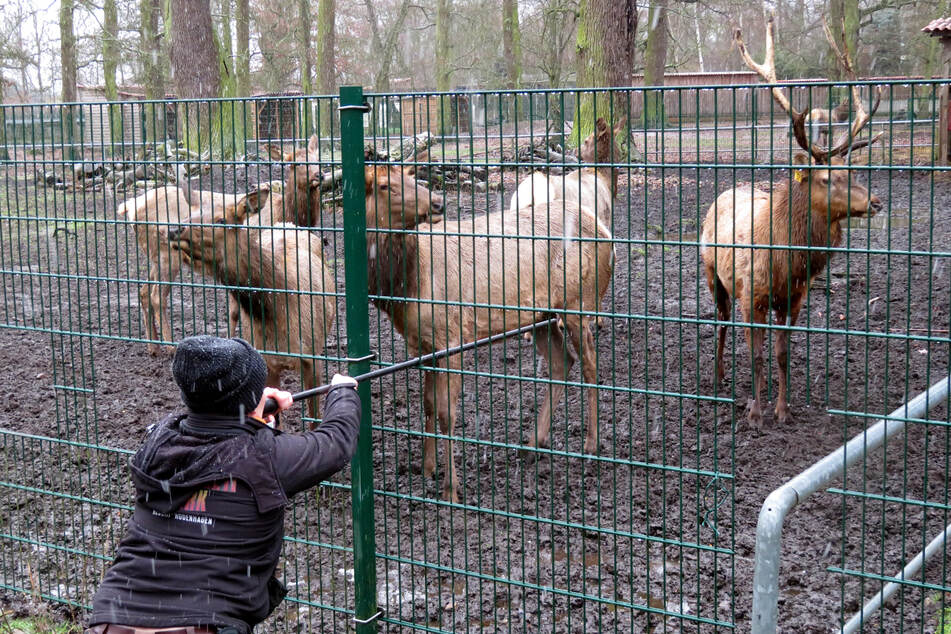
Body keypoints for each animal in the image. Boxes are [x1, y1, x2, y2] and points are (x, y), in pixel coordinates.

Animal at [118, 183, 270, 356]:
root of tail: (130, 206)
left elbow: (235, 312)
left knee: (143, 292)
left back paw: (153, 347)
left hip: (156, 258)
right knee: (156, 296)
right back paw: (171, 347)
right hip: (167, 254)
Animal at [166, 200, 334, 422]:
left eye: (222, 220)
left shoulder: (313, 358)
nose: (175, 229)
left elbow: (315, 419)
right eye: (194, 212)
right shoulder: (268, 361)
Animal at [360, 164, 612, 504]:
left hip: (579, 301)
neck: (409, 285)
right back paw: (532, 443)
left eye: (411, 178)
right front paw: (426, 468)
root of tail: (605, 231)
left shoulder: (451, 335)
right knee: (563, 362)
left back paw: (590, 444)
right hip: (542, 315)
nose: (438, 203)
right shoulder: (422, 344)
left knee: (590, 364)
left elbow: (447, 413)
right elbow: (427, 404)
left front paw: (451, 488)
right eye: (386, 185)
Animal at [700, 14, 884, 428]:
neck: (788, 260)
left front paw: (782, 409)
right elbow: (757, 354)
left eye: (852, 171)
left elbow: (783, 354)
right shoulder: (751, 295)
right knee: (720, 321)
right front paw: (755, 412)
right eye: (827, 178)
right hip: (711, 272)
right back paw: (718, 375)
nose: (877, 201)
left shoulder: (795, 298)